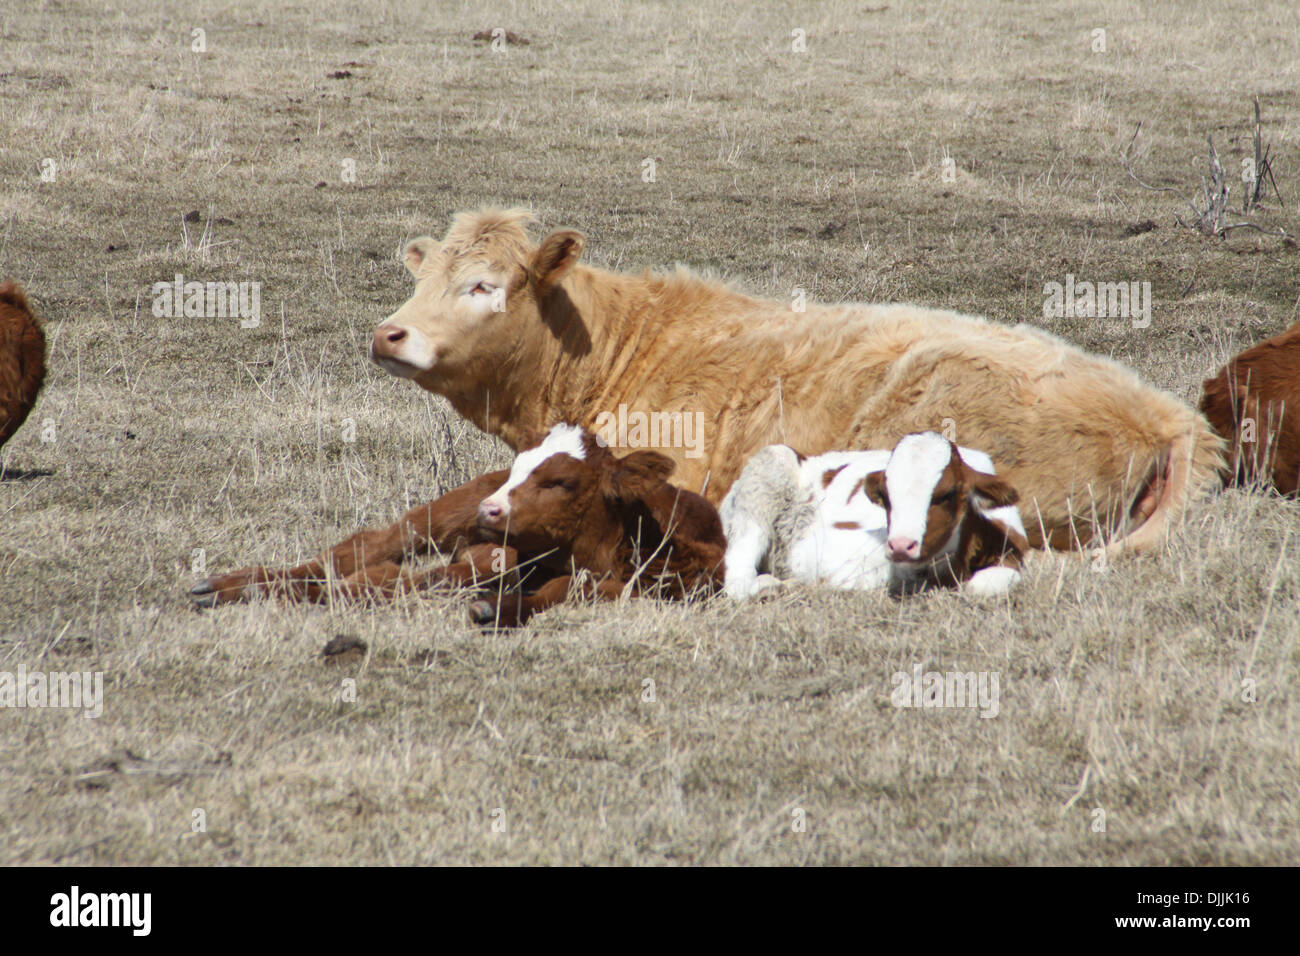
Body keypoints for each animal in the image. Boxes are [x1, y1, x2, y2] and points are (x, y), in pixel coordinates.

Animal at [192, 421, 728, 624]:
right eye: (518, 468)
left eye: (560, 481)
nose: (490, 510)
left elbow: (568, 591)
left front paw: (499, 609)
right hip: (438, 517)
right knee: (362, 553)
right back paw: (230, 585)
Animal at [722, 431, 1024, 598]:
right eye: (886, 498)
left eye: (946, 494)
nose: (901, 545)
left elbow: (986, 583)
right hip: (770, 465)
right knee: (737, 575)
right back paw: (766, 586)